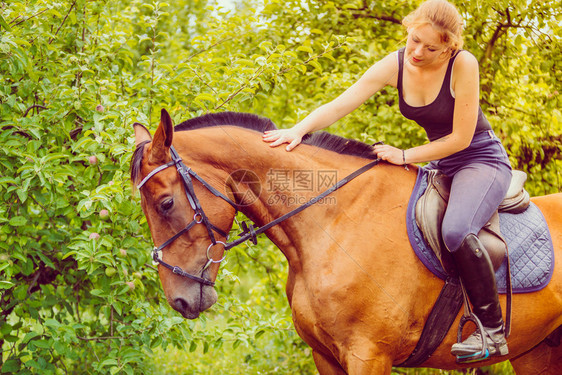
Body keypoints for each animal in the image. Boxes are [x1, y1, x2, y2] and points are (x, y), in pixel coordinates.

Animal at [131, 108, 560, 374]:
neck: (331, 223)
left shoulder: (368, 355)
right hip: (538, 351)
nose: (179, 300)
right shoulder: (326, 357)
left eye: (165, 203)